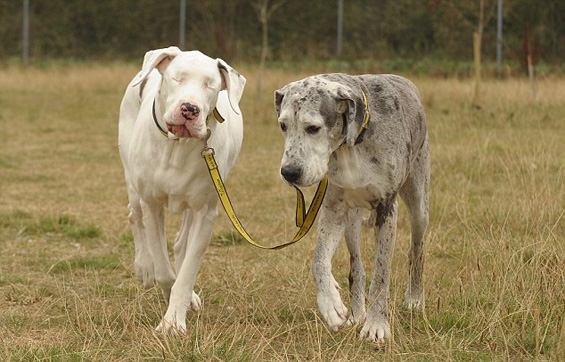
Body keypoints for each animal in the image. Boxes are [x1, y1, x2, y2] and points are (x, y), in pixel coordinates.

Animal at [118, 46, 243, 332]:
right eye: (177, 78)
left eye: (210, 85)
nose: (190, 109)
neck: (177, 145)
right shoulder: (152, 204)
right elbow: (164, 270)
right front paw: (165, 291)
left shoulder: (205, 212)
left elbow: (187, 270)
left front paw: (174, 319)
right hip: (132, 181)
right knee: (134, 216)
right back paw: (144, 267)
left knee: (180, 244)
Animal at [274, 73, 428, 342]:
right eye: (283, 125)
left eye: (313, 128)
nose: (289, 172)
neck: (353, 143)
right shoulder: (334, 210)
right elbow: (319, 259)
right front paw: (330, 302)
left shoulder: (386, 209)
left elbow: (381, 275)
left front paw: (377, 325)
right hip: (351, 220)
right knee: (357, 266)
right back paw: (357, 313)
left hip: (419, 206)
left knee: (416, 251)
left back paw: (414, 299)